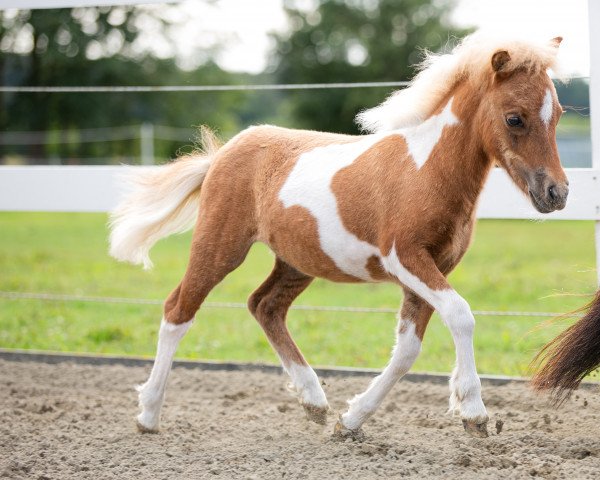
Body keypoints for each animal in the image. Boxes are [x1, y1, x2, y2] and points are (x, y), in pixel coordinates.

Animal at [111, 32, 568, 438]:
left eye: (559, 113)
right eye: (514, 117)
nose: (557, 193)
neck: (425, 170)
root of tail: (224, 151)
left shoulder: (435, 267)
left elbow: (407, 350)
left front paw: (350, 421)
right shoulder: (406, 258)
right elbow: (460, 315)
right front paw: (473, 412)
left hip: (297, 261)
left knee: (264, 305)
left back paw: (314, 402)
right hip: (220, 245)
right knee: (178, 310)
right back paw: (148, 414)